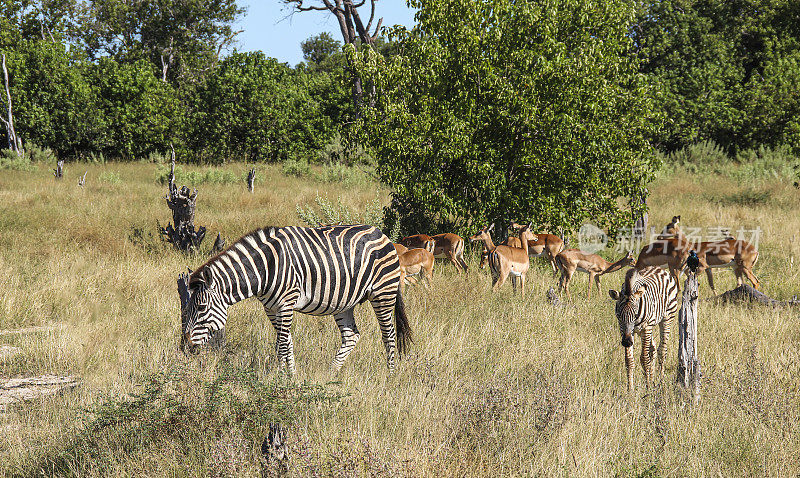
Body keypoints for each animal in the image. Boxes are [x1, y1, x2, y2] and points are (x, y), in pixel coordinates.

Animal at [183, 226, 412, 376]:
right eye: (188, 308)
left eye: (201, 307)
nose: (186, 347)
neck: (265, 267)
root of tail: (382, 235)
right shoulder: (271, 308)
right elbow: (285, 343)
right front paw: (287, 375)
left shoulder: (286, 302)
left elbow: (283, 343)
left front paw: (284, 377)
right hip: (344, 302)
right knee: (351, 336)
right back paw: (331, 373)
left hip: (384, 292)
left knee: (389, 335)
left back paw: (390, 374)